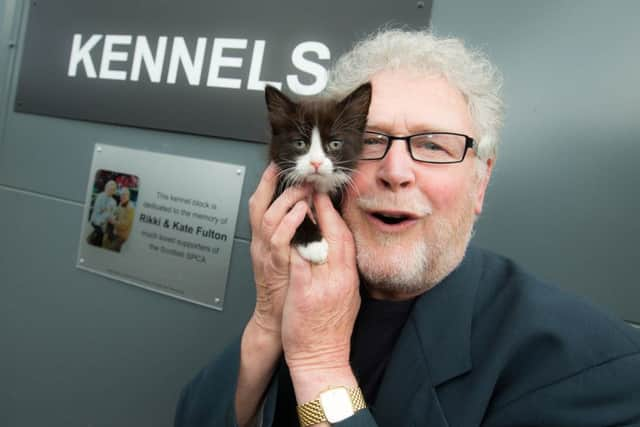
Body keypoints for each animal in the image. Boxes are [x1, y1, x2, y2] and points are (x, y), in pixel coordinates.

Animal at [264, 83, 372, 264]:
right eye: (300, 143)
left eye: (335, 144)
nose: (316, 162)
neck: (316, 185)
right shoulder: (277, 188)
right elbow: (289, 208)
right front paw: (314, 245)